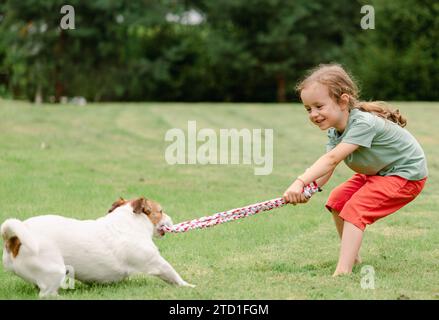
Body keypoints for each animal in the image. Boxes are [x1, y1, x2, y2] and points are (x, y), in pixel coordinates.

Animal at [0, 198, 195, 298]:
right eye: (160, 211)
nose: (171, 219)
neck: (128, 223)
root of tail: (14, 239)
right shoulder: (156, 262)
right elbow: (173, 275)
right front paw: (188, 286)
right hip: (55, 270)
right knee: (46, 294)